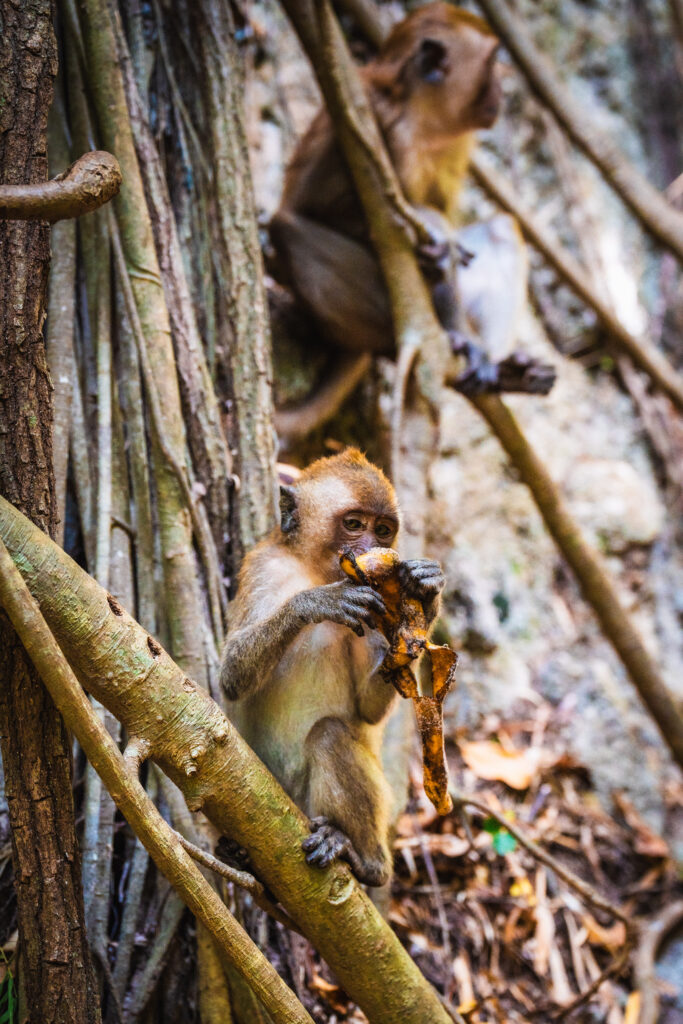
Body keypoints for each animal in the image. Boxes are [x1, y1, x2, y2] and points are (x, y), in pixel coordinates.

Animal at [220, 448, 445, 886]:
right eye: (354, 525)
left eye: (384, 530)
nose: (372, 549)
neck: (314, 570)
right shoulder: (264, 568)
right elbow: (232, 676)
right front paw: (316, 603)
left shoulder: (378, 604)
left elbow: (367, 709)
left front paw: (425, 600)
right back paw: (239, 854)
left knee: (329, 735)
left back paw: (366, 863)